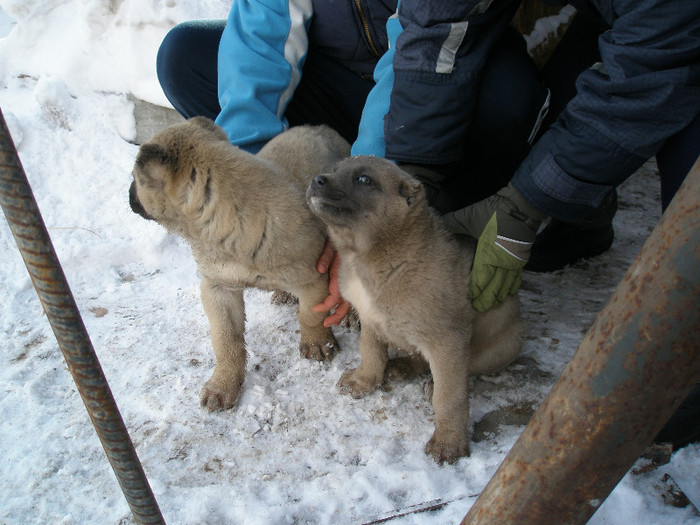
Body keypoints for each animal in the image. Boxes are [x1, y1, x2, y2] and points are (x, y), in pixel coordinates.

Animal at [129, 116, 350, 412]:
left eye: (135, 179)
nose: (128, 196)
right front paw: (223, 385)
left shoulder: (314, 280)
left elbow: (311, 315)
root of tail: (320, 127)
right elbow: (227, 341)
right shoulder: (217, 289)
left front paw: (318, 344)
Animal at [308, 156, 524, 462]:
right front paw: (363, 381)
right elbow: (371, 353)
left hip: (504, 343)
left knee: (462, 372)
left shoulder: (447, 339)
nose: (316, 180)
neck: (371, 257)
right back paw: (402, 366)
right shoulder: (370, 320)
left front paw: (448, 443)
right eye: (335, 169)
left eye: (364, 179)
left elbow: (450, 397)